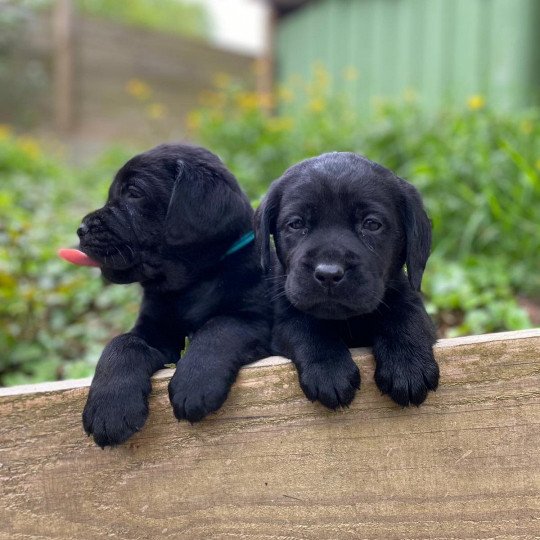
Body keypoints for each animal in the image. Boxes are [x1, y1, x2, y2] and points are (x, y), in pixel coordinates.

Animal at [60, 143, 268, 448]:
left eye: (134, 193)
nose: (81, 229)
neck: (190, 286)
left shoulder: (261, 318)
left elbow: (220, 326)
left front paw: (195, 382)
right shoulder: (153, 330)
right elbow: (121, 343)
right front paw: (110, 409)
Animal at [254, 152, 438, 410]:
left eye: (371, 224)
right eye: (296, 224)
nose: (328, 274)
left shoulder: (405, 294)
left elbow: (407, 315)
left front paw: (408, 364)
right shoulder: (284, 316)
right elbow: (304, 325)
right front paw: (329, 372)